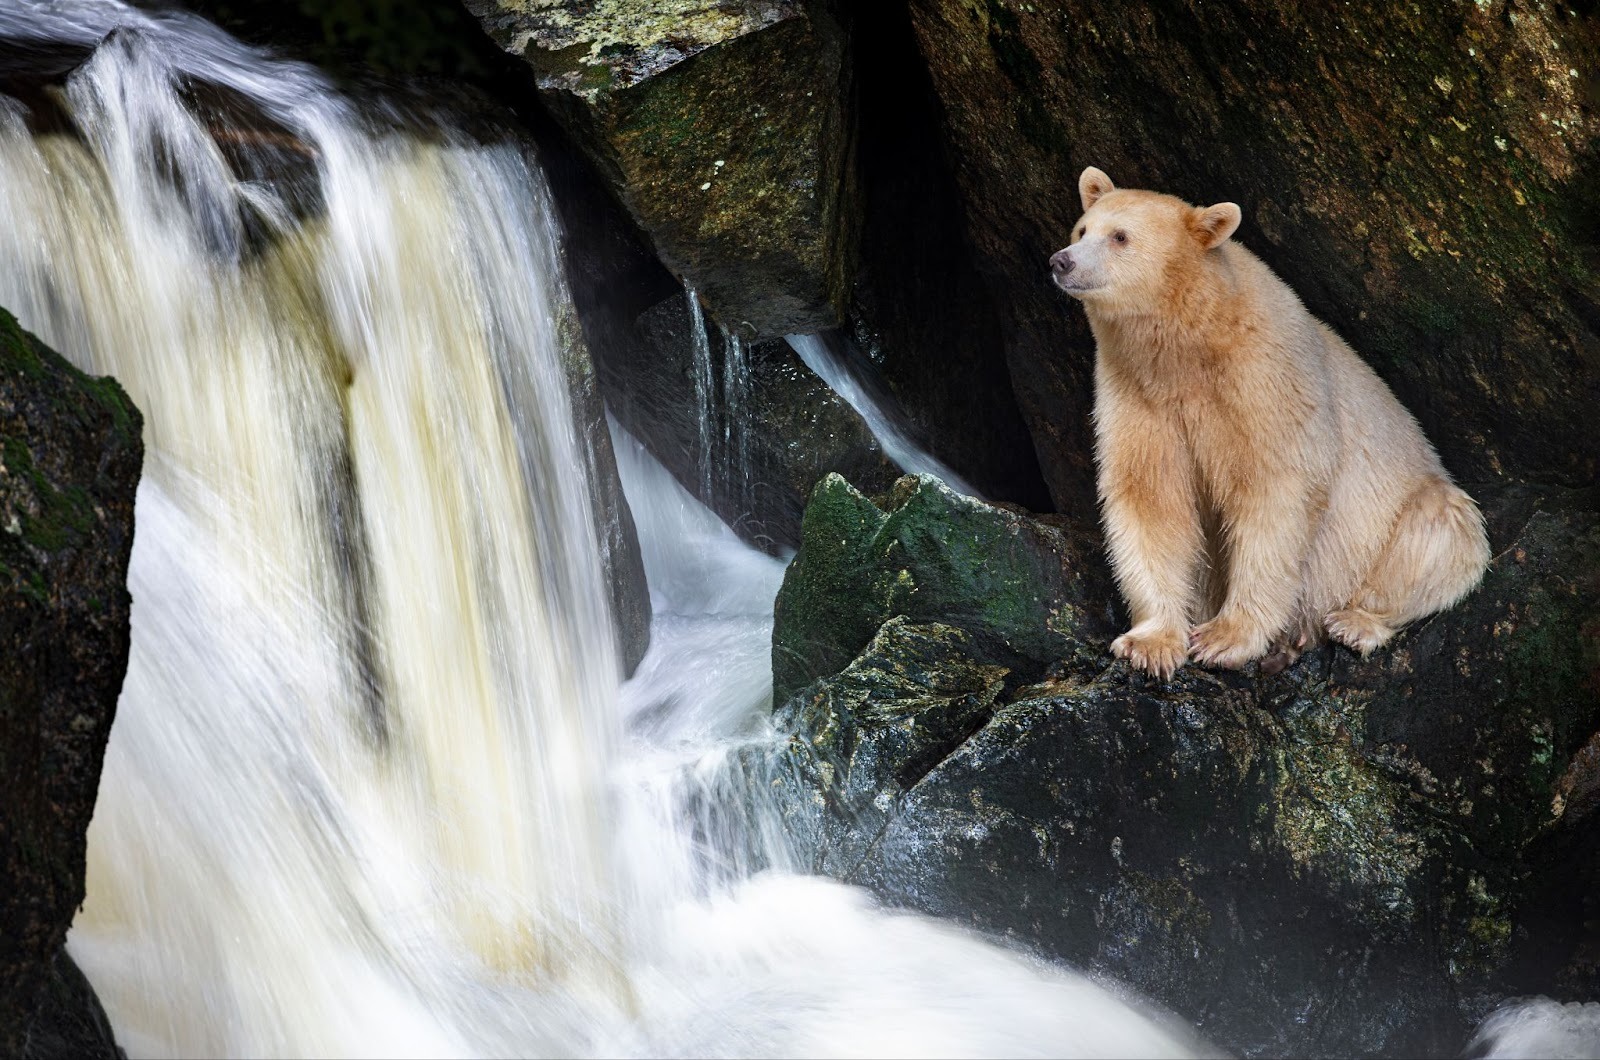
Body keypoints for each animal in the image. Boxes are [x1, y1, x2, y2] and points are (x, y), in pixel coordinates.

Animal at [1048, 166, 1490, 678]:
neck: (1190, 342)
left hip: (1402, 521)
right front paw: (1150, 642)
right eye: (1082, 229)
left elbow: (1276, 491)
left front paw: (1225, 637)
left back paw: (1354, 623)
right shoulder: (1137, 391)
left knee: (1441, 533)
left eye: (1120, 236)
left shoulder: (1265, 379)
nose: (1062, 261)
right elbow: (1151, 496)